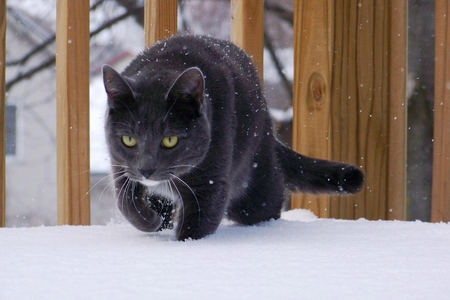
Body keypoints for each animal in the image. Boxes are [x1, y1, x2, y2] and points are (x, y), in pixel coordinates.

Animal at [101, 34, 362, 241]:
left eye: (170, 140)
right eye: (129, 140)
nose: (146, 169)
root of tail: (268, 122)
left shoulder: (211, 179)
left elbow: (199, 221)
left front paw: (182, 243)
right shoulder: (121, 166)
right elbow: (125, 200)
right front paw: (150, 220)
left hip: (254, 178)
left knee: (269, 199)